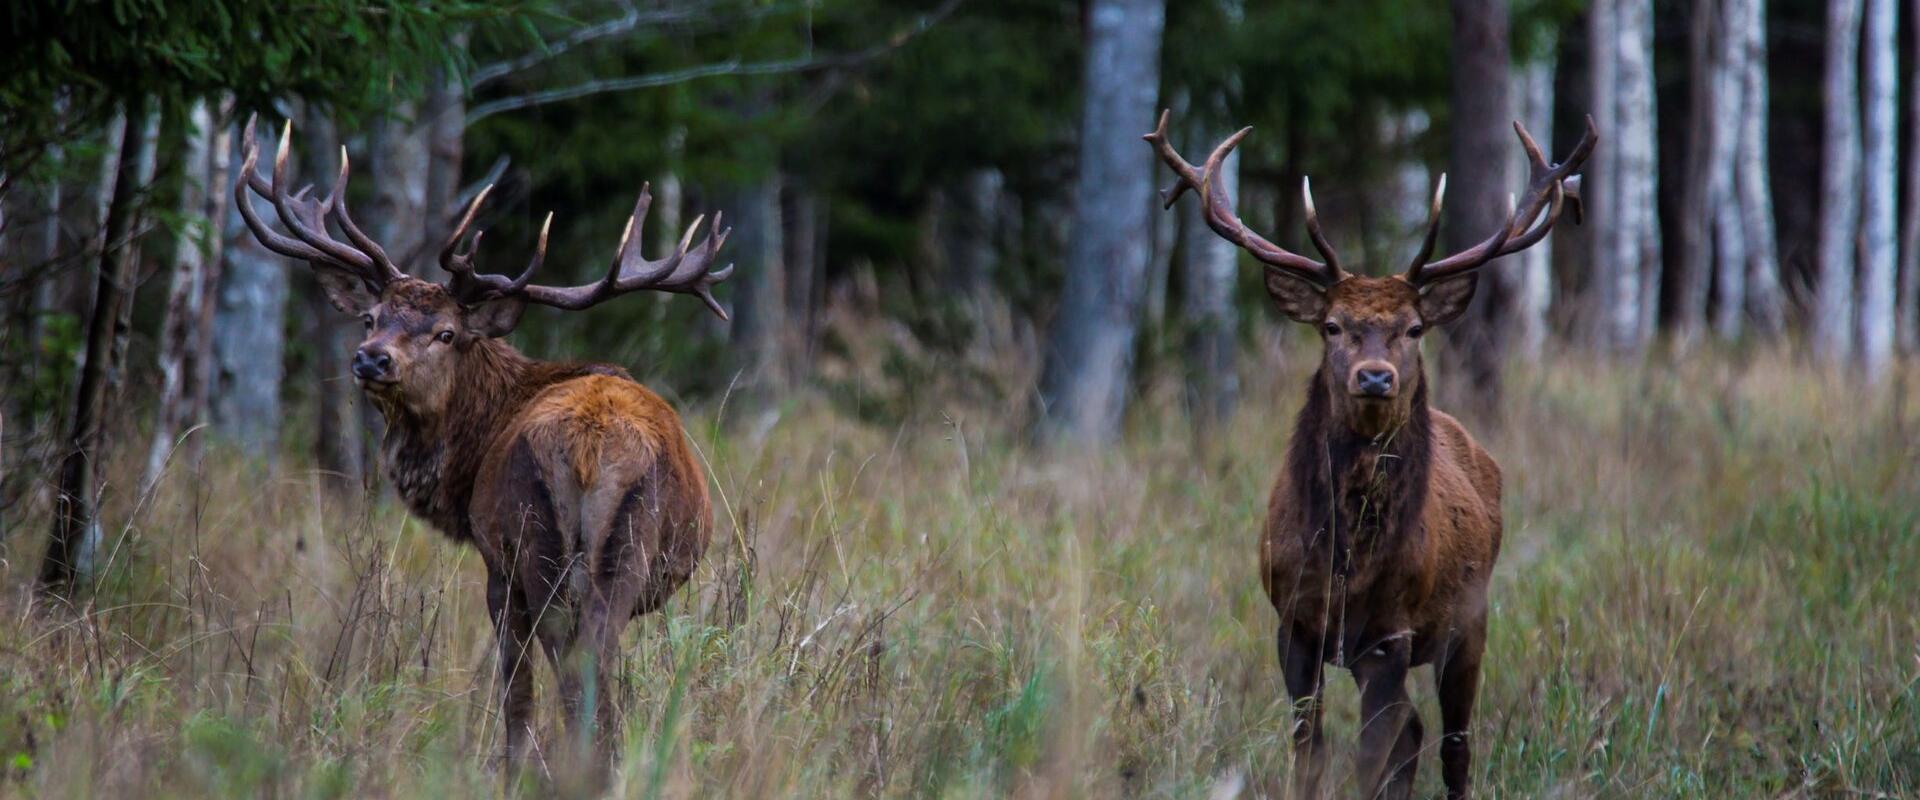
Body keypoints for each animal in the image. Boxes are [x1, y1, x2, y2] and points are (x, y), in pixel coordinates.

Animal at [230, 117, 725, 775]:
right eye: (371, 318)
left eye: (446, 333)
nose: (371, 359)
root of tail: (590, 451)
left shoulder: (495, 565)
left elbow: (516, 691)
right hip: (609, 557)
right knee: (593, 669)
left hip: (545, 548)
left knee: (571, 672)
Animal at [1144, 107, 1597, 798]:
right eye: (1332, 326)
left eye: (1413, 329)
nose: (1376, 377)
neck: (1347, 562)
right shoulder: (1296, 625)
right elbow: (1311, 750)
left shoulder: (1391, 635)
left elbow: (1370, 756)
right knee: (1413, 731)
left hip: (1470, 620)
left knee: (1453, 743)